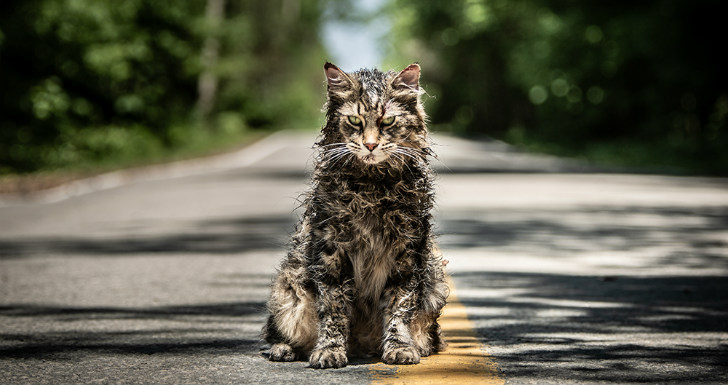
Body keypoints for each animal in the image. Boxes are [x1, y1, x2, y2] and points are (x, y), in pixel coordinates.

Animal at [258, 61, 446, 368]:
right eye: (355, 121)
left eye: (388, 122)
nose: (370, 145)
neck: (372, 186)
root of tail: (362, 346)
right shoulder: (331, 250)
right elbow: (333, 309)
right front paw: (330, 350)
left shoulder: (407, 252)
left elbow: (399, 306)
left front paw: (399, 347)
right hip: (288, 289)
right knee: (278, 332)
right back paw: (283, 349)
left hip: (435, 282)